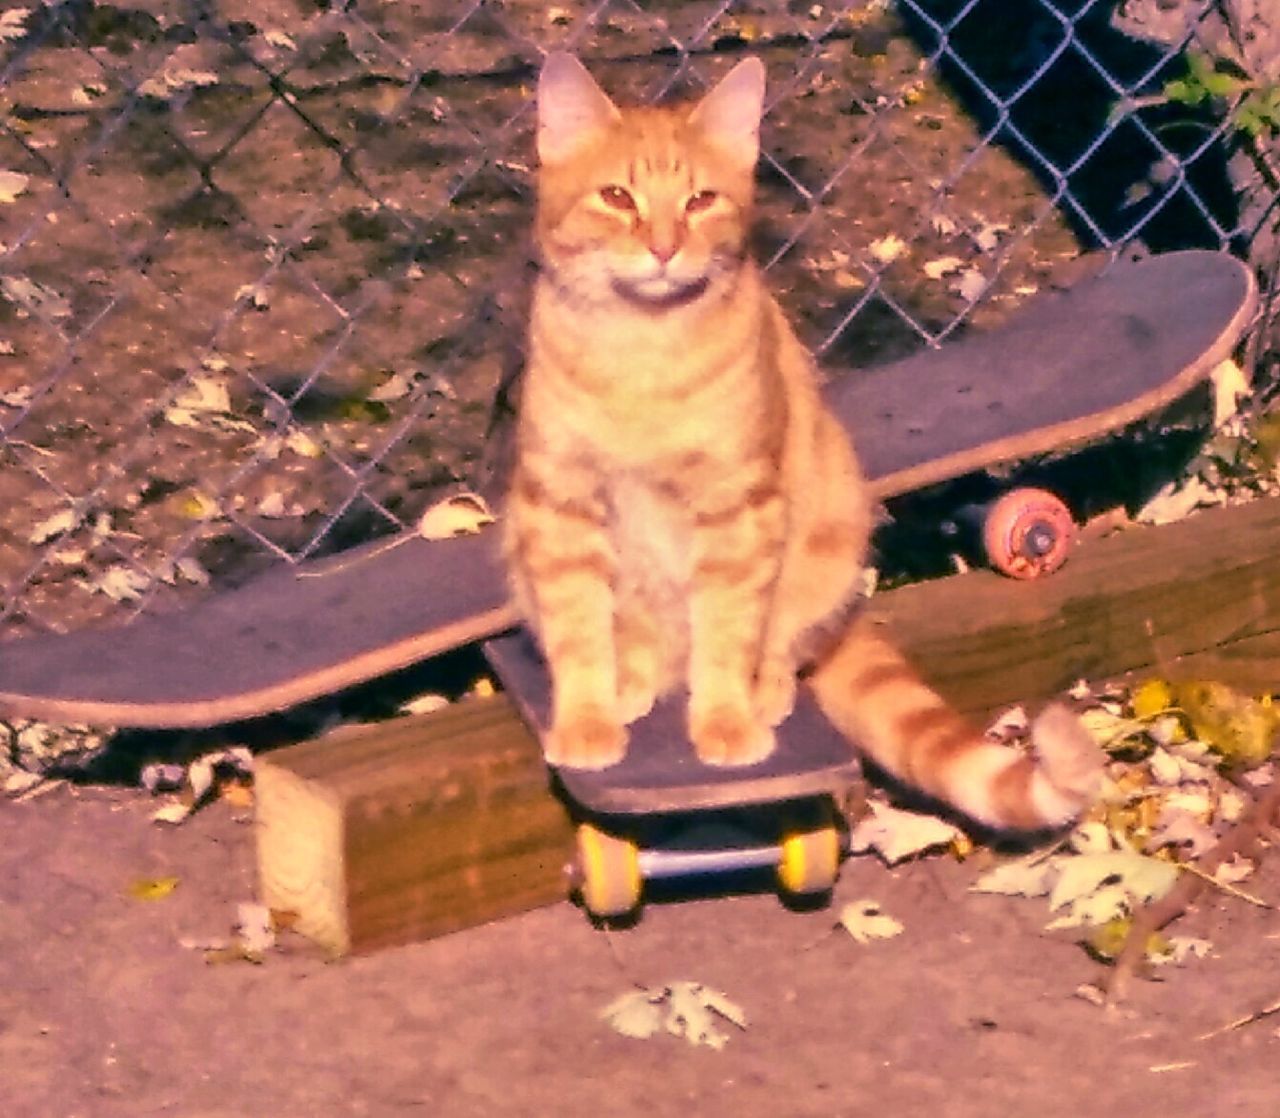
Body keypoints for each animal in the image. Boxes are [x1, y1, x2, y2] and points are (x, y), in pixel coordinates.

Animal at [501, 56, 1100, 834]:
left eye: (700, 200)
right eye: (616, 197)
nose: (663, 248)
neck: (644, 354)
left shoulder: (738, 505)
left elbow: (730, 629)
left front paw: (727, 720)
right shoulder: (560, 501)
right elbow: (579, 630)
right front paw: (586, 719)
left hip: (830, 528)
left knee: (783, 641)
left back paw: (763, 692)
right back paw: (634, 682)